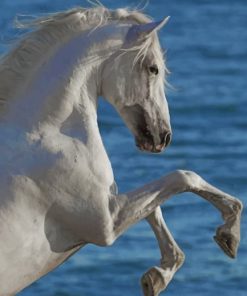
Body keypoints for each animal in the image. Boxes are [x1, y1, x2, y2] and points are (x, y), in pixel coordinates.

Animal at [0, 5, 243, 296]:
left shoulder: (112, 204)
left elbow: (154, 206)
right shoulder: (107, 224)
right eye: (153, 69)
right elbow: (183, 177)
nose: (164, 136)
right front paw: (230, 232)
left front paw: (158, 276)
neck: (44, 133)